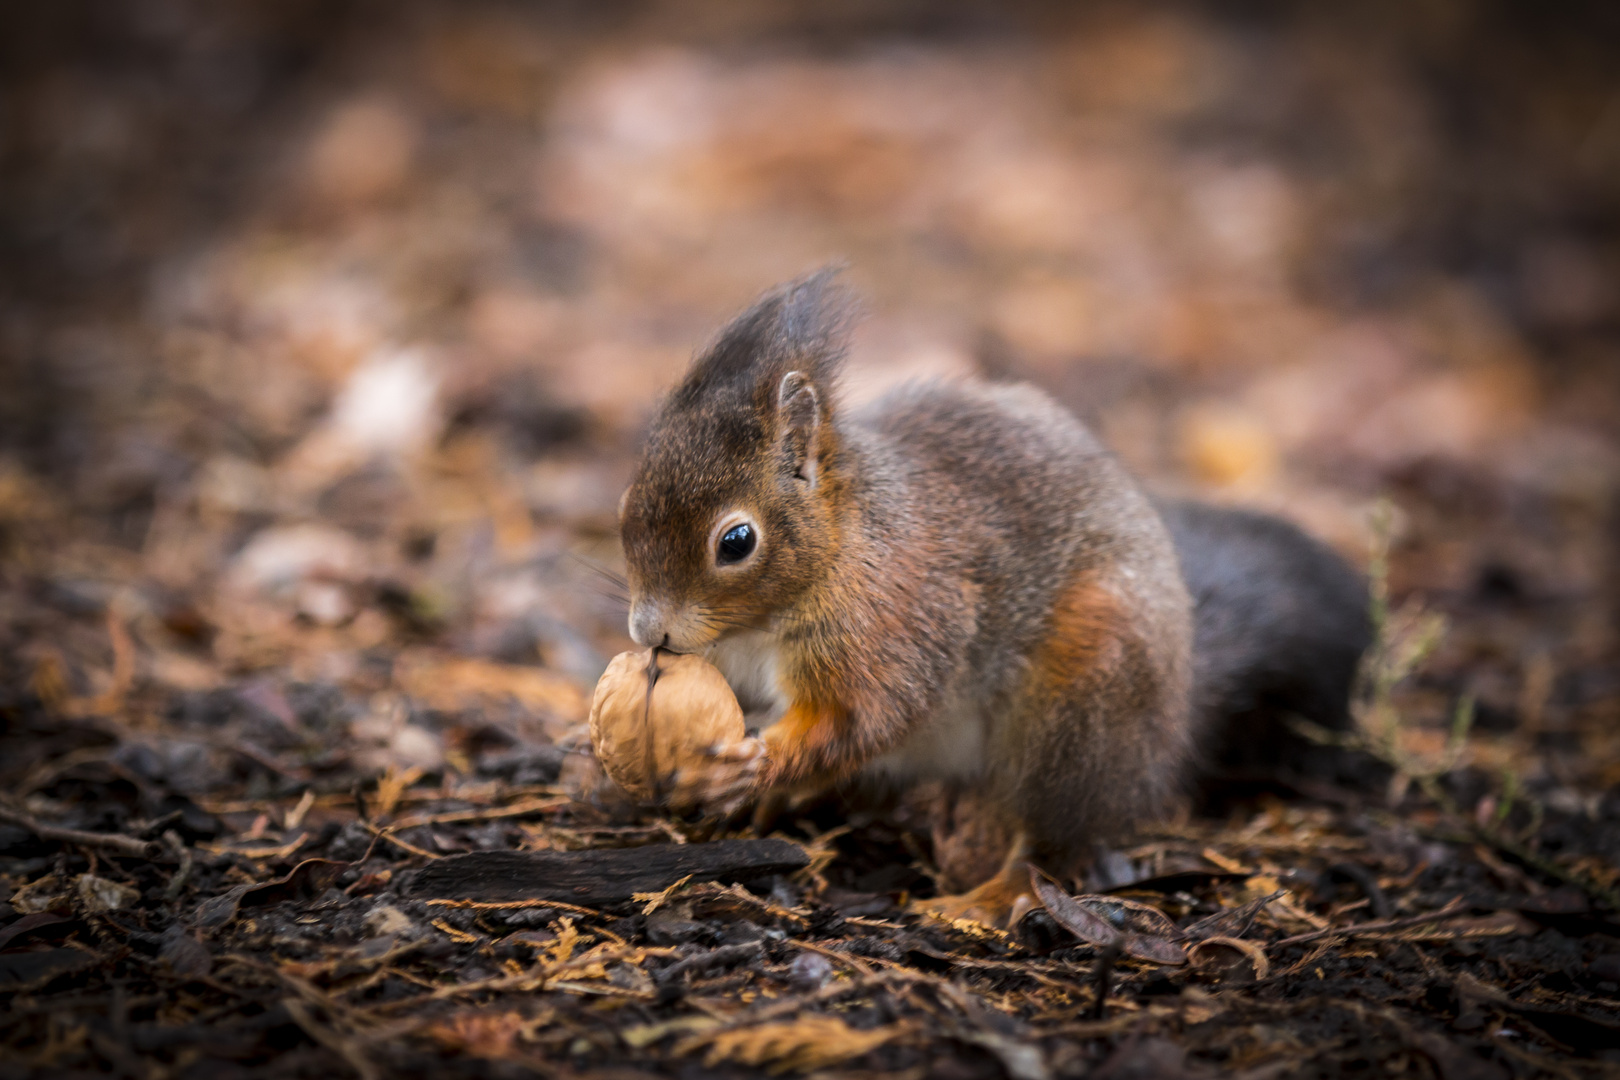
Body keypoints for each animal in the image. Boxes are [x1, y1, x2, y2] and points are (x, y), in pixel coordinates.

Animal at [615, 270, 1367, 919]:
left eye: (737, 541)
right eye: (625, 504)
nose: (648, 631)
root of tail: (1171, 722)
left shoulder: (900, 624)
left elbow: (863, 717)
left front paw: (753, 763)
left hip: (1084, 704)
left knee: (1054, 837)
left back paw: (994, 894)